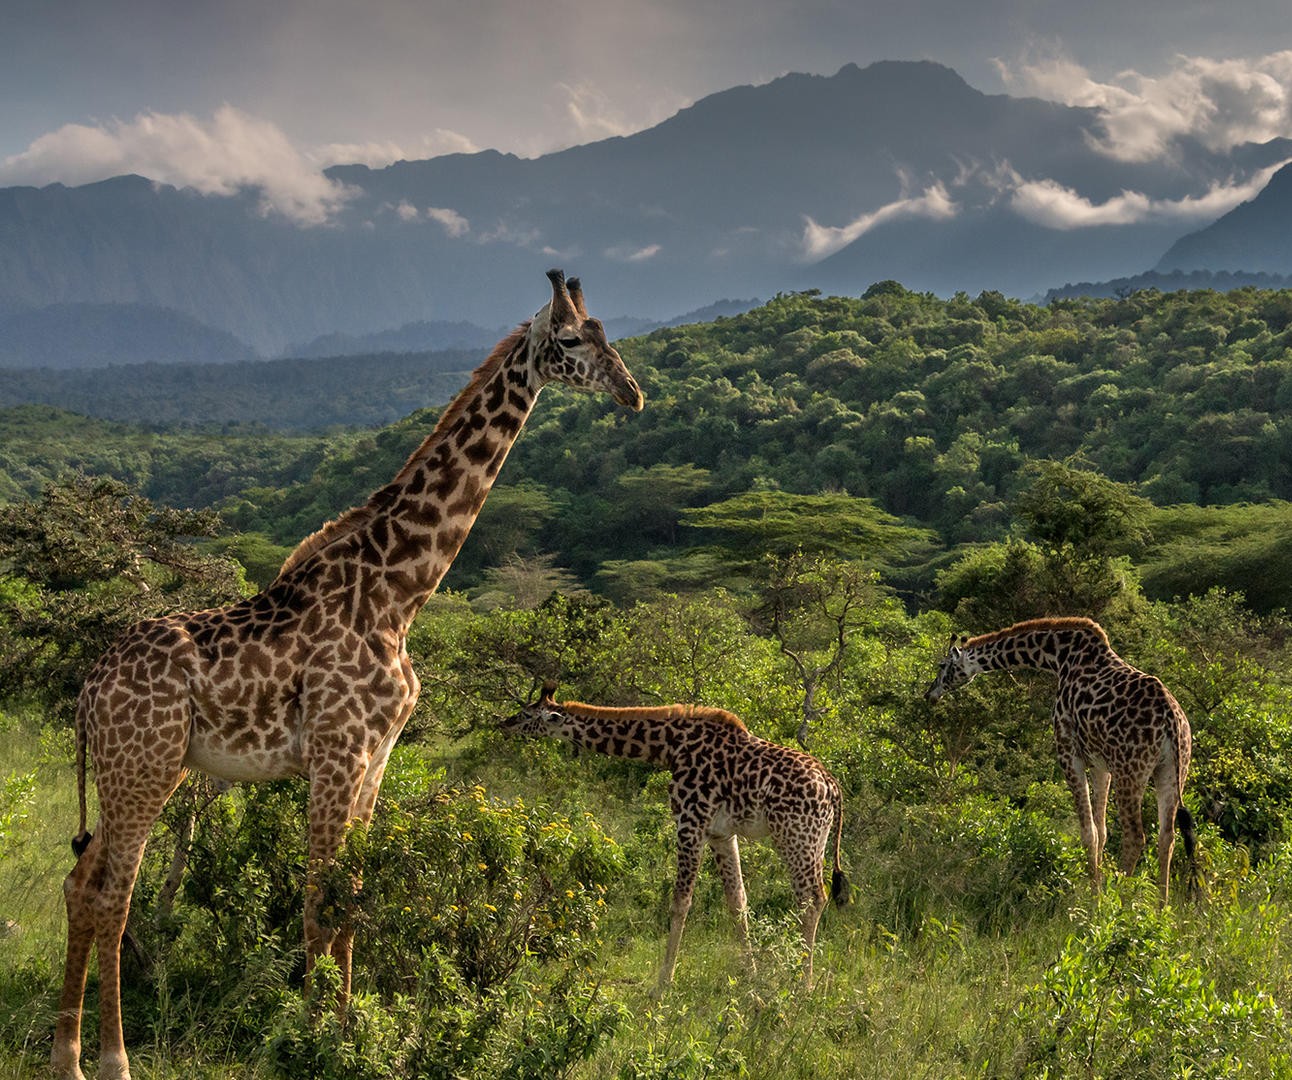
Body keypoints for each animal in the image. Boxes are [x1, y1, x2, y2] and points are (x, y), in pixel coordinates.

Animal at [52, 270, 643, 1080]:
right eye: (573, 339)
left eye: (608, 333)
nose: (631, 392)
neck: (399, 591)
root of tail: (88, 691)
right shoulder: (337, 751)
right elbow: (316, 899)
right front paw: (311, 1039)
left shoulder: (376, 756)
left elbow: (352, 898)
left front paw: (347, 1029)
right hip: (145, 765)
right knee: (114, 895)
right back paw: (111, 1059)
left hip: (134, 769)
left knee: (82, 884)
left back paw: (66, 1056)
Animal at [498, 687, 852, 992]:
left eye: (527, 714)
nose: (504, 724)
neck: (671, 747)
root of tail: (833, 787)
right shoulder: (721, 833)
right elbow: (737, 902)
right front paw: (749, 976)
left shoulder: (689, 823)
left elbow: (681, 902)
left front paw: (662, 983)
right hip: (814, 840)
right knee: (810, 897)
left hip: (796, 836)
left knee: (813, 898)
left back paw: (803, 984)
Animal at [925, 614, 1193, 904]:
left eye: (942, 665)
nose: (929, 694)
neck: (1058, 657)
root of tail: (1171, 718)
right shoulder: (1101, 764)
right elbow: (1102, 831)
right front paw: (1098, 887)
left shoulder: (1068, 752)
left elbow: (1088, 832)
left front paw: (1094, 898)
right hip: (1171, 770)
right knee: (1167, 836)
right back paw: (1162, 907)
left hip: (1131, 770)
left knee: (1135, 837)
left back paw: (1120, 902)